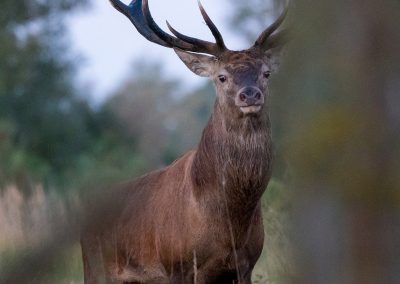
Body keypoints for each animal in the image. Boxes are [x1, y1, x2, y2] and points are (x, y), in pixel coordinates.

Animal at [81, 0, 288, 282]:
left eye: (266, 73)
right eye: (221, 76)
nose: (250, 95)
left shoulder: (246, 264)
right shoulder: (176, 265)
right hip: (95, 269)